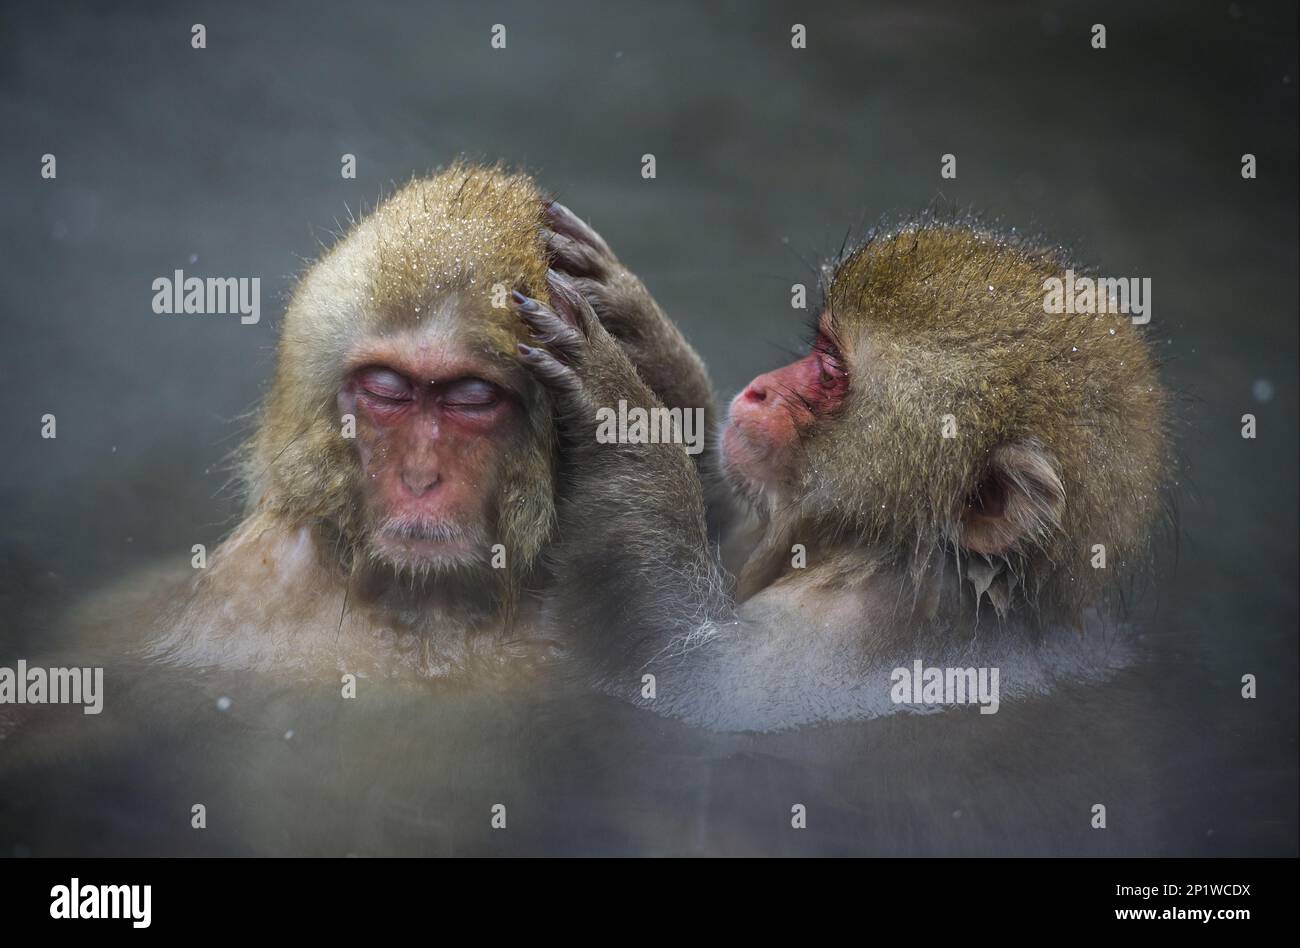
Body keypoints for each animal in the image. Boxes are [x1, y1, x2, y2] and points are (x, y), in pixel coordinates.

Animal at [511, 215, 1172, 731]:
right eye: (820, 346)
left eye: (830, 368)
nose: (759, 390)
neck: (899, 553)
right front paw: (638, 326)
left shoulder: (852, 637)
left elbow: (698, 686)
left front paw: (614, 401)